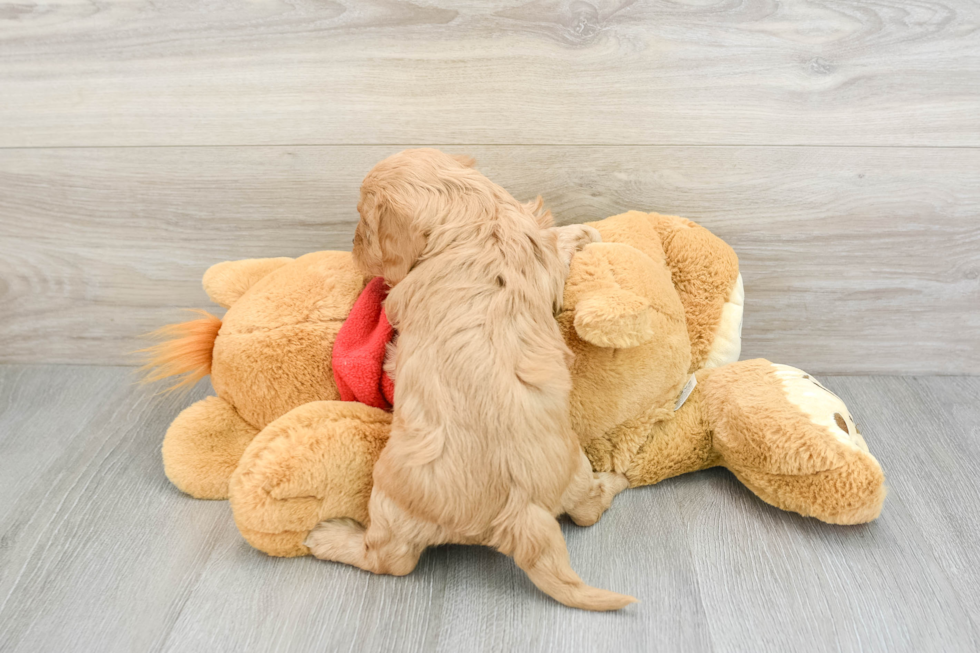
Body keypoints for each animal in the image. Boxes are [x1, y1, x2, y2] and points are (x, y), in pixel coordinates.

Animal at [306, 149, 636, 612]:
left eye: (364, 223)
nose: (352, 246)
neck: (476, 219)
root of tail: (521, 513)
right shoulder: (533, 242)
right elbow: (554, 241)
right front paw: (584, 233)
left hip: (391, 496)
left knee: (389, 559)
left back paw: (329, 537)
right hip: (574, 469)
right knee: (587, 511)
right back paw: (616, 480)